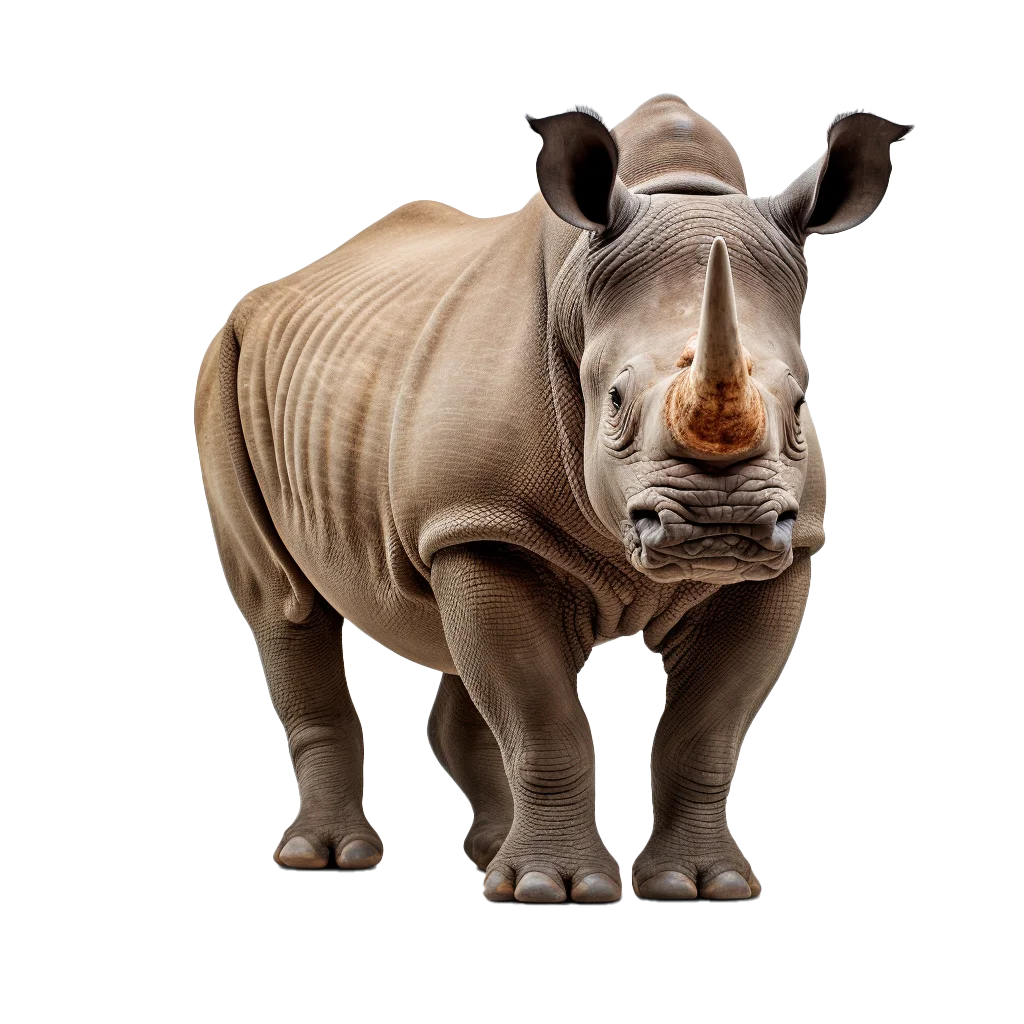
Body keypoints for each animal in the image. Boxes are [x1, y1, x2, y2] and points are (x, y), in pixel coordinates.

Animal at [194, 95, 912, 901]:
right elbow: (543, 717)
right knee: (284, 604)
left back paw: (487, 856)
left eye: (799, 405)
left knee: (448, 637)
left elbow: (707, 728)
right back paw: (330, 857)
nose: (720, 525)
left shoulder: (789, 547)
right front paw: (554, 890)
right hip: (225, 363)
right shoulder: (485, 521)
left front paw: (704, 884)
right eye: (615, 401)